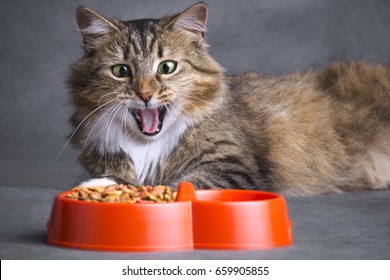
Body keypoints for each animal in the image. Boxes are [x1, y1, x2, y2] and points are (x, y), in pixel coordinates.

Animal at [67, 2, 390, 195]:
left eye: (167, 68)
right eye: (121, 71)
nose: (145, 94)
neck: (146, 146)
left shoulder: (231, 167)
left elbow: (178, 185)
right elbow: (121, 177)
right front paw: (102, 185)